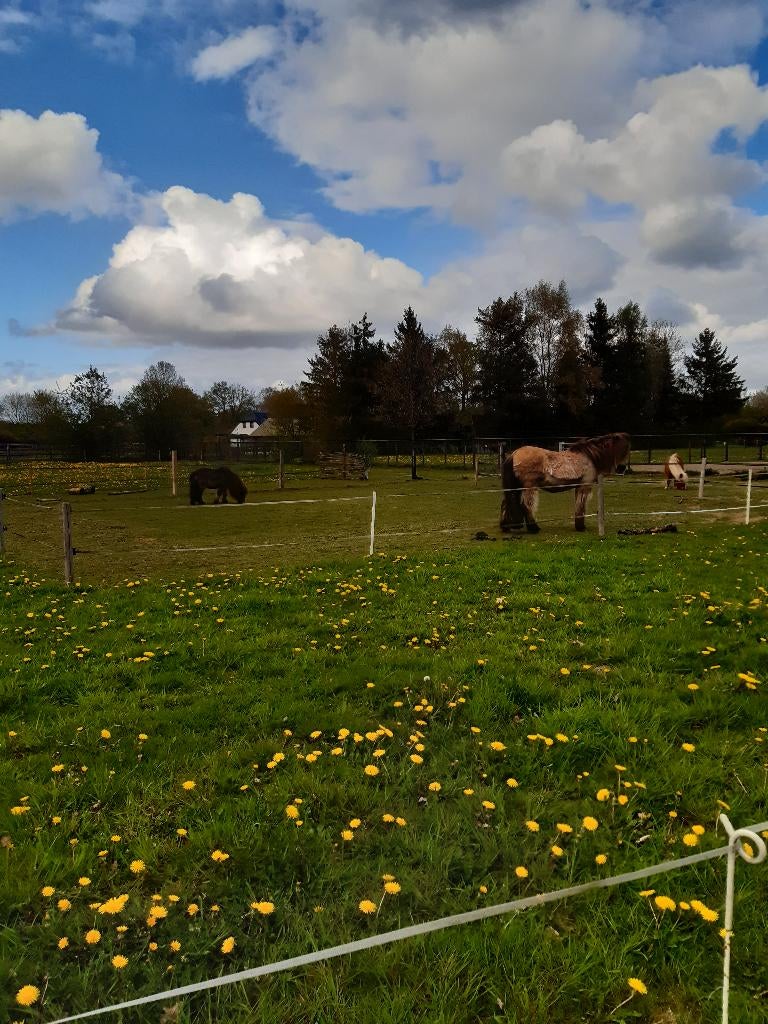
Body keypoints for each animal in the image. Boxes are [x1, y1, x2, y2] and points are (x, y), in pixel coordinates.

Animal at [500, 432, 631, 533]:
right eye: (624, 448)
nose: (623, 468)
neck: (590, 456)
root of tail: (514, 453)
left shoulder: (579, 486)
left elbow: (578, 506)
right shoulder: (584, 486)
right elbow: (581, 506)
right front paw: (581, 527)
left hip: (516, 488)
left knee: (506, 503)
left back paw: (506, 527)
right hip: (529, 487)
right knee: (526, 506)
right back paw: (534, 528)